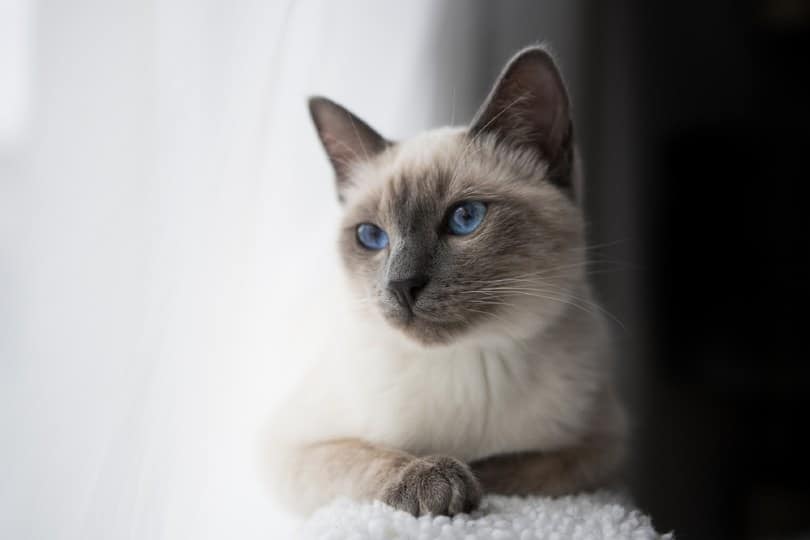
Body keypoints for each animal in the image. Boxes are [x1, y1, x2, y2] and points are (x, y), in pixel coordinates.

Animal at [266, 44, 624, 516]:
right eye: (371, 236)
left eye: (465, 218)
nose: (402, 285)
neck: (469, 362)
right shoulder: (294, 447)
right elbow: (370, 458)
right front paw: (437, 481)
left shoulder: (602, 447)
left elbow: (516, 466)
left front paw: (473, 478)